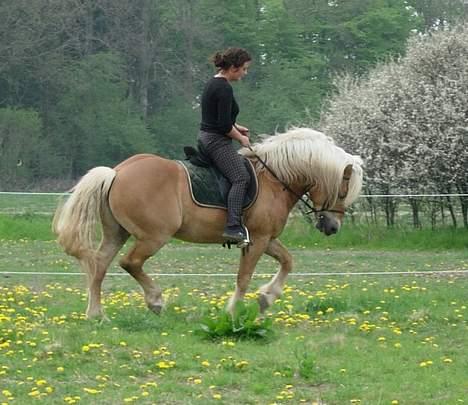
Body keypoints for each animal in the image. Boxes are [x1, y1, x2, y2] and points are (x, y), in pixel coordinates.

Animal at [53, 128, 364, 318]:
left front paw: (267, 298)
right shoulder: (258, 240)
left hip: (118, 232)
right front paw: (232, 311)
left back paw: (97, 314)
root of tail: (116, 172)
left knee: (99, 265)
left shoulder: (267, 239)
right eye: (342, 191)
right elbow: (244, 277)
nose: (332, 227)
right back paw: (155, 300)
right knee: (129, 263)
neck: (275, 179)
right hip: (153, 236)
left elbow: (288, 261)